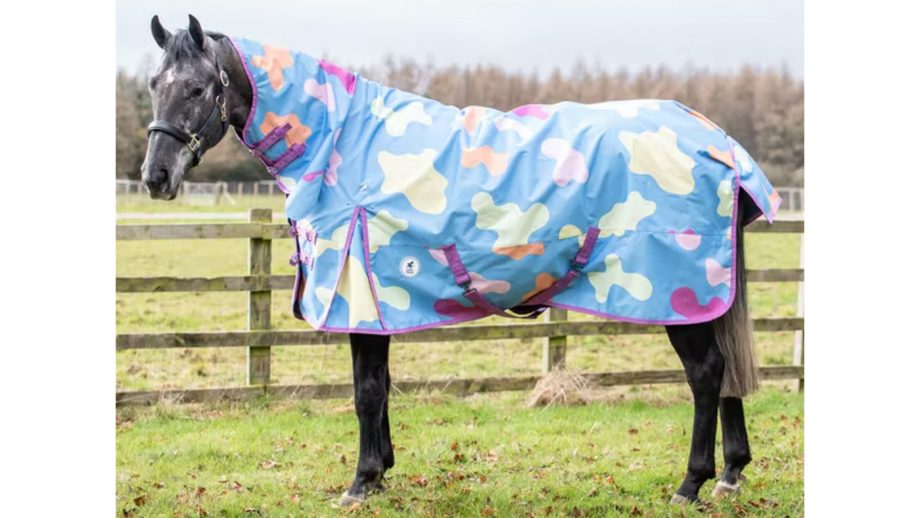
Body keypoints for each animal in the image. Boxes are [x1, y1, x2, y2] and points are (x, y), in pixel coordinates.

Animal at [140, 15, 777, 506]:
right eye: (152, 83)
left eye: (197, 89)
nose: (155, 177)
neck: (341, 144)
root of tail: (715, 140)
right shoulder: (378, 306)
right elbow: (381, 385)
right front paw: (382, 472)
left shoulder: (361, 295)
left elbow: (365, 389)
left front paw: (360, 482)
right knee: (725, 374)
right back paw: (730, 473)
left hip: (681, 294)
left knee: (706, 374)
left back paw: (691, 484)